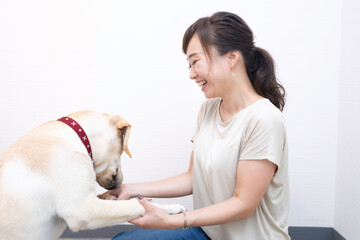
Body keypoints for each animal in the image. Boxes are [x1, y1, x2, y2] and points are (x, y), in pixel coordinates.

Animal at [0, 110, 186, 240]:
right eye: (121, 150)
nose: (119, 184)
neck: (74, 136)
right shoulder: (82, 209)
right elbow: (134, 205)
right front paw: (170, 208)